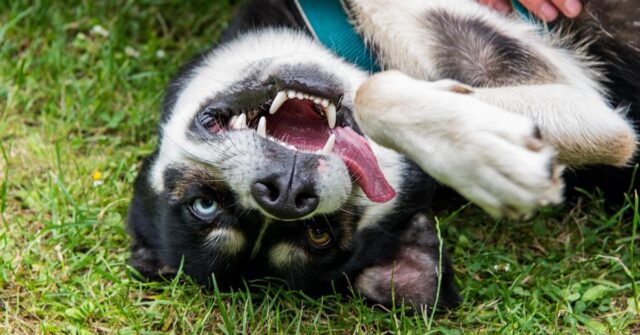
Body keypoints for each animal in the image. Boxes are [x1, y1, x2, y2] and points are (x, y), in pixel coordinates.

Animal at [125, 0, 640, 310]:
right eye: (320, 235)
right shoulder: (596, 116)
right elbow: (376, 93)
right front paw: (487, 155)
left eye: (201, 204)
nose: (284, 193)